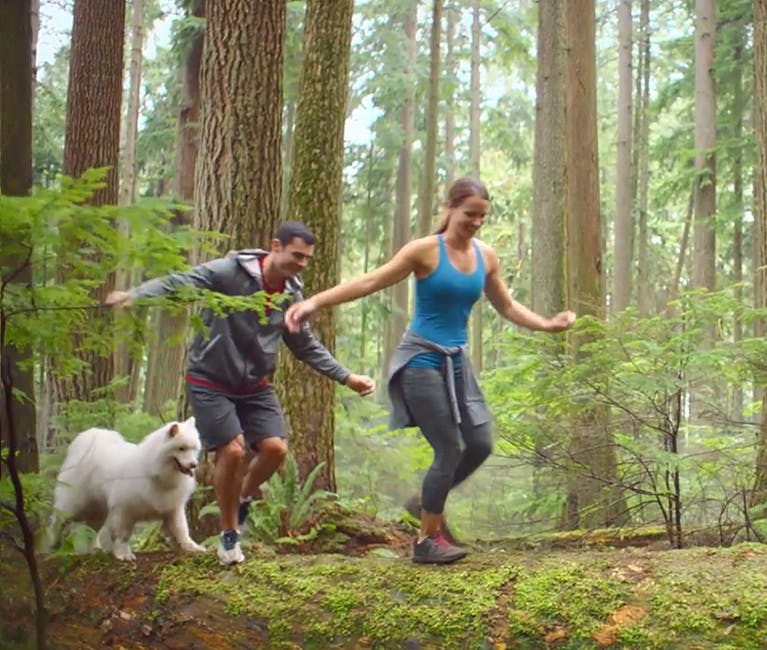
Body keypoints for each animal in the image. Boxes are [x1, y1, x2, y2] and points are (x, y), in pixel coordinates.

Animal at [50, 418, 207, 560]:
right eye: (181, 448)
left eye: (194, 449)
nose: (194, 464)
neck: (155, 472)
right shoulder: (124, 511)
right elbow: (122, 536)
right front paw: (123, 554)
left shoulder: (173, 509)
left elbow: (182, 530)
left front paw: (191, 546)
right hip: (75, 505)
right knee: (58, 518)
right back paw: (53, 543)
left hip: (98, 511)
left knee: (92, 530)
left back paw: (94, 549)